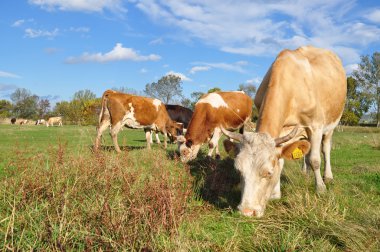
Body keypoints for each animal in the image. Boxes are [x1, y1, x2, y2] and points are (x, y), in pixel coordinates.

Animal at [220, 46, 348, 218]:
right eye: (239, 171)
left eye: (268, 172)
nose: (247, 211)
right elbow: (282, 160)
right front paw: (275, 194)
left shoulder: (315, 125)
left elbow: (315, 159)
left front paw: (320, 188)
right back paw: (305, 172)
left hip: (331, 124)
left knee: (325, 148)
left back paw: (327, 177)